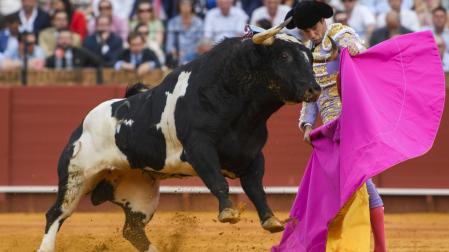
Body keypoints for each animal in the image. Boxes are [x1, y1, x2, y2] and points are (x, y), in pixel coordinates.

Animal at [37, 18, 318, 252]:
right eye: (283, 55)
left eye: (310, 57)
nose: (313, 89)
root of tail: (80, 128)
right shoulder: (199, 148)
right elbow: (218, 181)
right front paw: (228, 212)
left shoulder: (252, 155)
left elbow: (256, 188)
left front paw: (271, 220)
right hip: (77, 177)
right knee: (56, 214)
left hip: (139, 195)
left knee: (133, 229)